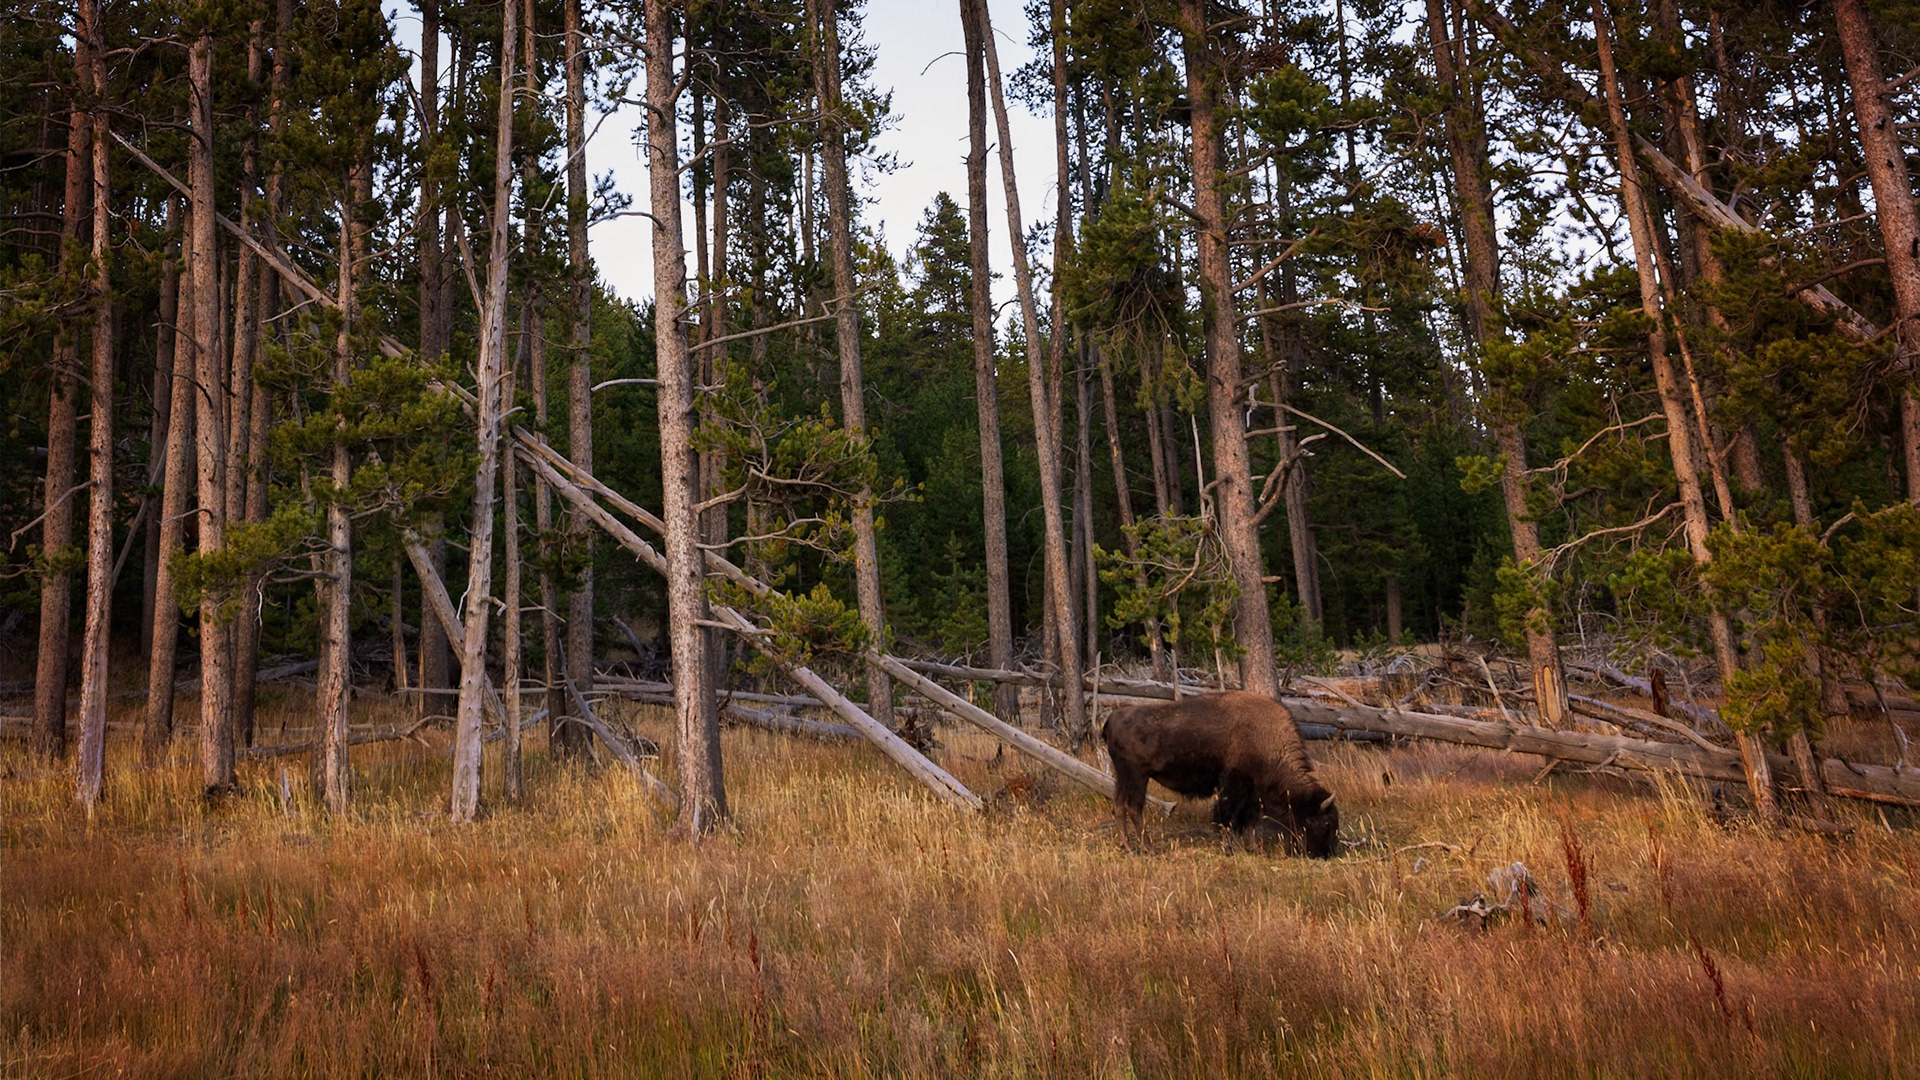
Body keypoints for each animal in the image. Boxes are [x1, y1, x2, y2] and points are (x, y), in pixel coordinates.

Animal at [1102, 691, 1339, 857]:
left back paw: (1127, 846)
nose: (1327, 853)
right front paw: (1228, 849)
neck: (1265, 738)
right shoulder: (1233, 786)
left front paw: (1255, 849)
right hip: (1137, 777)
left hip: (1122, 777)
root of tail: (1112, 718)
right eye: (1326, 823)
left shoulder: (1252, 793)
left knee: (1118, 805)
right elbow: (1227, 818)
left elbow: (1252, 821)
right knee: (1134, 808)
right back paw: (1148, 849)